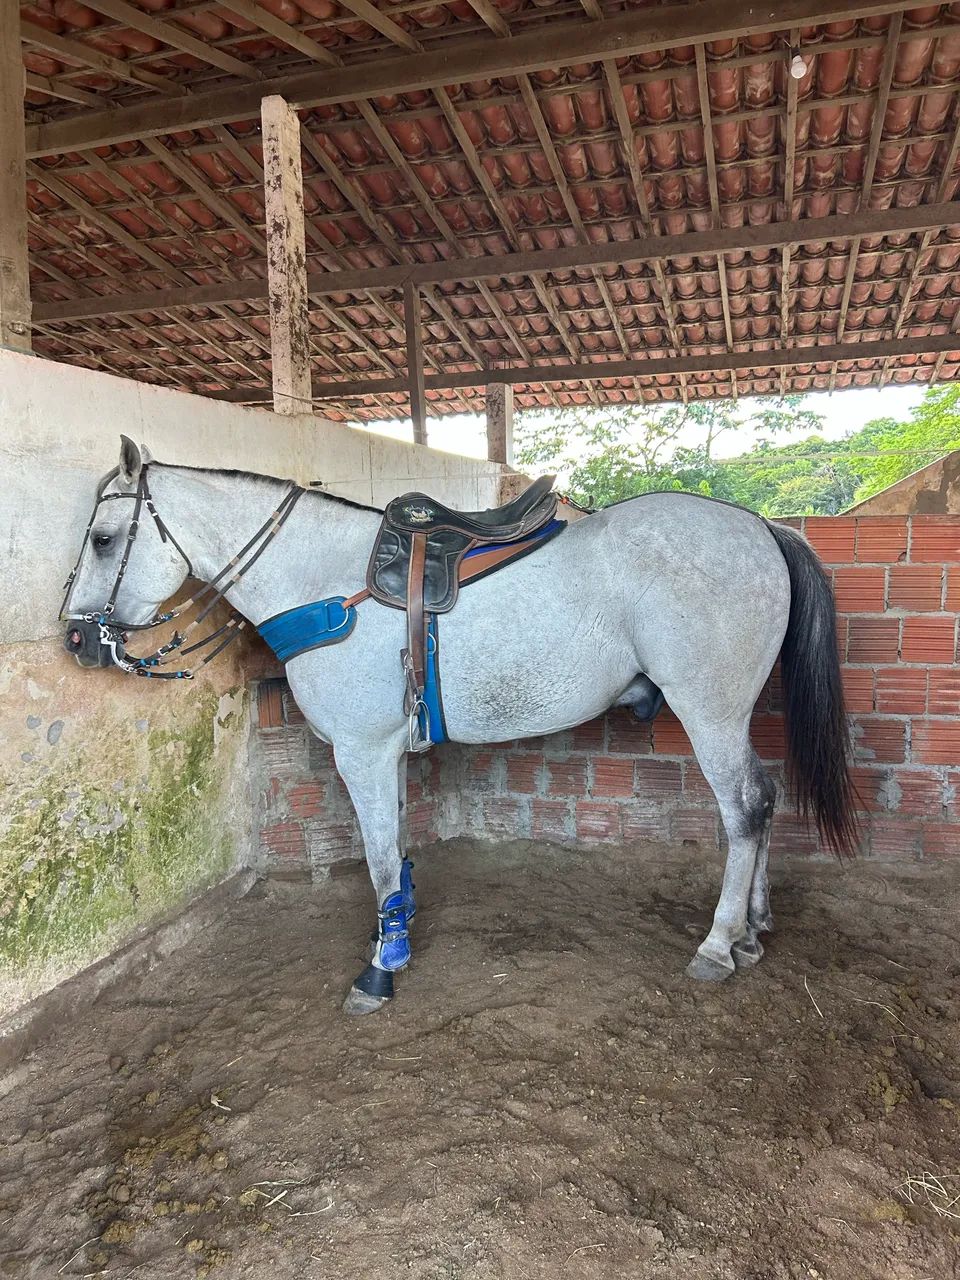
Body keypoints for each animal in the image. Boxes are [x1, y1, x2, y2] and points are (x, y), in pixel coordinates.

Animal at [62, 437, 856, 1014]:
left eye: (102, 537)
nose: (75, 639)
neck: (324, 582)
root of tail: (761, 527)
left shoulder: (361, 751)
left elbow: (380, 860)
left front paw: (379, 972)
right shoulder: (386, 750)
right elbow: (397, 855)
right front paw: (397, 936)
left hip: (710, 710)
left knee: (744, 809)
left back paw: (720, 944)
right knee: (764, 801)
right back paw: (754, 928)